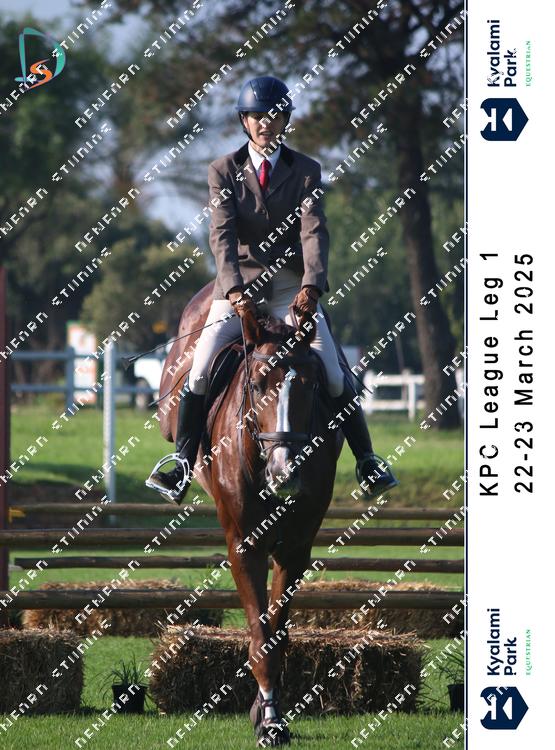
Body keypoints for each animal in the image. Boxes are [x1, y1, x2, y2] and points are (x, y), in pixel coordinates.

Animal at [158, 280, 343, 746]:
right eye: (258, 386)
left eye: (311, 388)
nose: (285, 472)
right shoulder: (245, 546)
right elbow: (260, 636)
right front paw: (270, 720)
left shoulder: (295, 549)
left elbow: (277, 633)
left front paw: (269, 714)